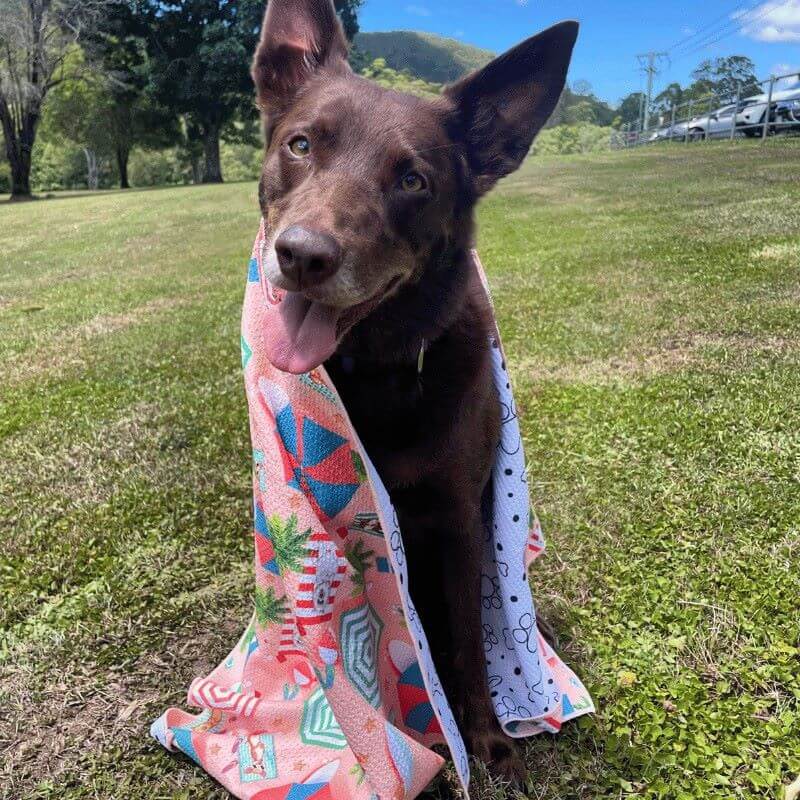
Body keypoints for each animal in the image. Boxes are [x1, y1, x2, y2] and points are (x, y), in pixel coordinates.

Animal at [250, 0, 576, 784]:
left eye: (413, 181)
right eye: (301, 144)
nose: (303, 256)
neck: (380, 370)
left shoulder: (460, 522)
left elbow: (466, 641)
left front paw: (484, 736)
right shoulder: (343, 534)